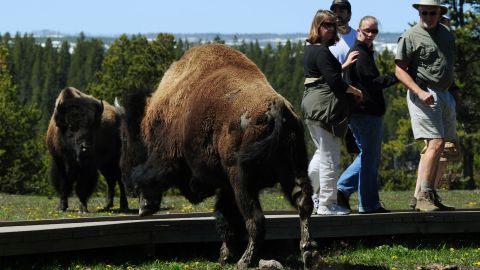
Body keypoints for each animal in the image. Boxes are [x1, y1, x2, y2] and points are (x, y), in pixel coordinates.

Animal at [116, 43, 318, 268]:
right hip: (293, 168)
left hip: (242, 181)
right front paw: (224, 255)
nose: (124, 176)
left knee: (255, 220)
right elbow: (226, 218)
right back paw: (309, 254)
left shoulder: (168, 158)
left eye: (125, 138)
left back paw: (245, 261)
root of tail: (277, 108)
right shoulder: (226, 187)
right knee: (303, 204)